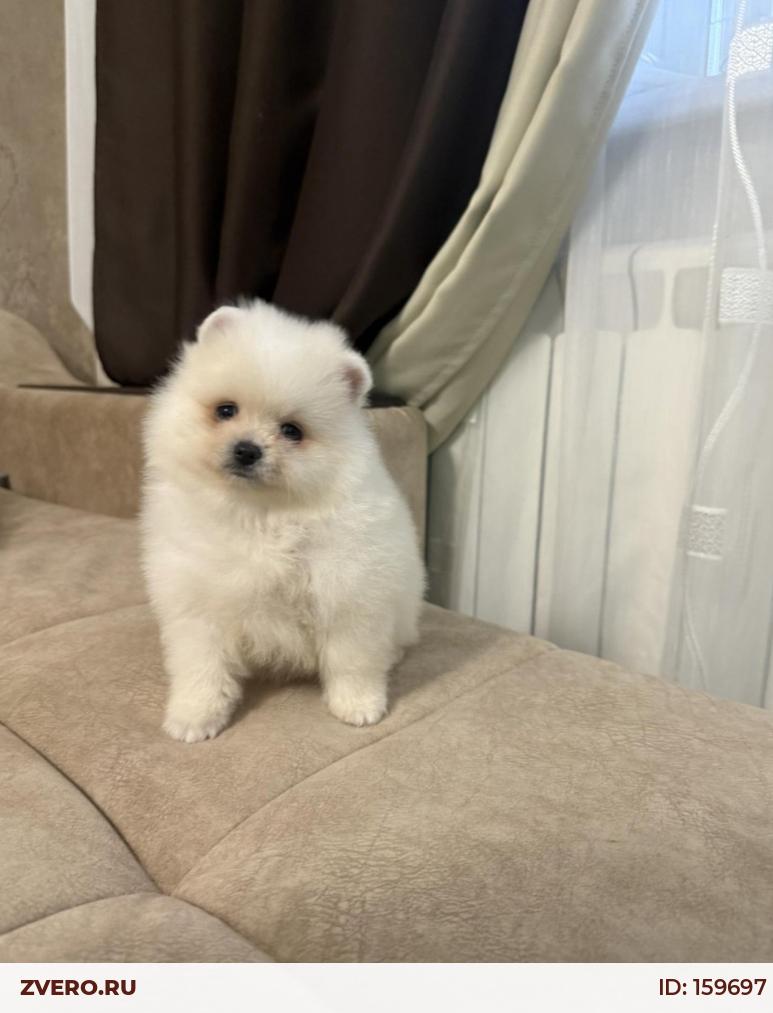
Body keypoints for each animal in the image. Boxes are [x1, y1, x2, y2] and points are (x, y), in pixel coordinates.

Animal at [140, 299, 425, 742]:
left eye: (292, 431)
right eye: (226, 410)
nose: (247, 449)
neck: (261, 514)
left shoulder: (350, 594)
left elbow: (352, 661)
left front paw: (358, 705)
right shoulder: (198, 602)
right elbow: (202, 667)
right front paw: (195, 716)